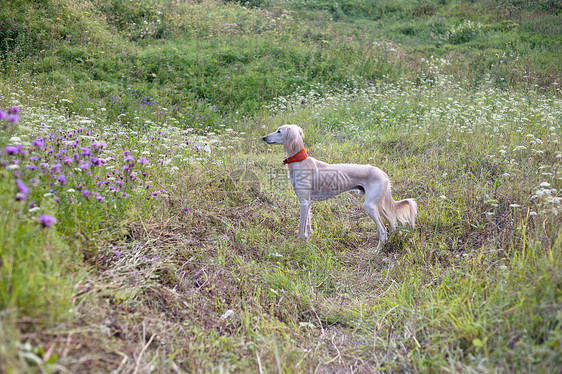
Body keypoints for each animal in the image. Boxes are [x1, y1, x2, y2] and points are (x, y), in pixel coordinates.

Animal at [260, 125, 414, 245]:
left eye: (279, 131)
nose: (263, 137)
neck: (300, 161)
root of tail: (383, 173)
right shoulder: (307, 202)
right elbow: (308, 224)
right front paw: (308, 238)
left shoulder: (303, 202)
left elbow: (301, 226)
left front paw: (299, 243)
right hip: (378, 205)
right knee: (392, 223)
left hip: (370, 206)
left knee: (383, 231)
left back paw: (377, 251)